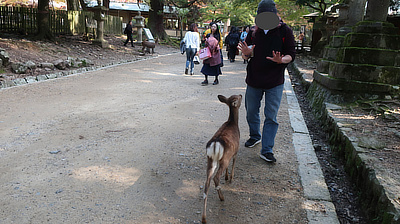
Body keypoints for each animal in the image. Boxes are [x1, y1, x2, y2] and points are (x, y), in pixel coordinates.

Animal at [202, 93, 242, 223]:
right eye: (238, 98)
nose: (241, 94)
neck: (233, 122)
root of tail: (215, 144)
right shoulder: (235, 151)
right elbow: (234, 163)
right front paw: (231, 178)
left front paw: (227, 176)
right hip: (224, 158)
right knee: (215, 177)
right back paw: (222, 197)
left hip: (210, 159)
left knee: (207, 183)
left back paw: (204, 219)